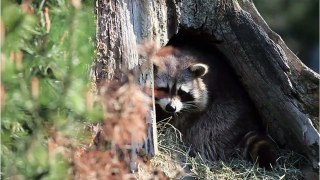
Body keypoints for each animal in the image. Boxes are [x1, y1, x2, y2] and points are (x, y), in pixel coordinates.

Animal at [145, 36, 278, 167]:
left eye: (181, 92)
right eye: (163, 89)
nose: (171, 107)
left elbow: (182, 119)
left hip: (226, 116)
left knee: (206, 130)